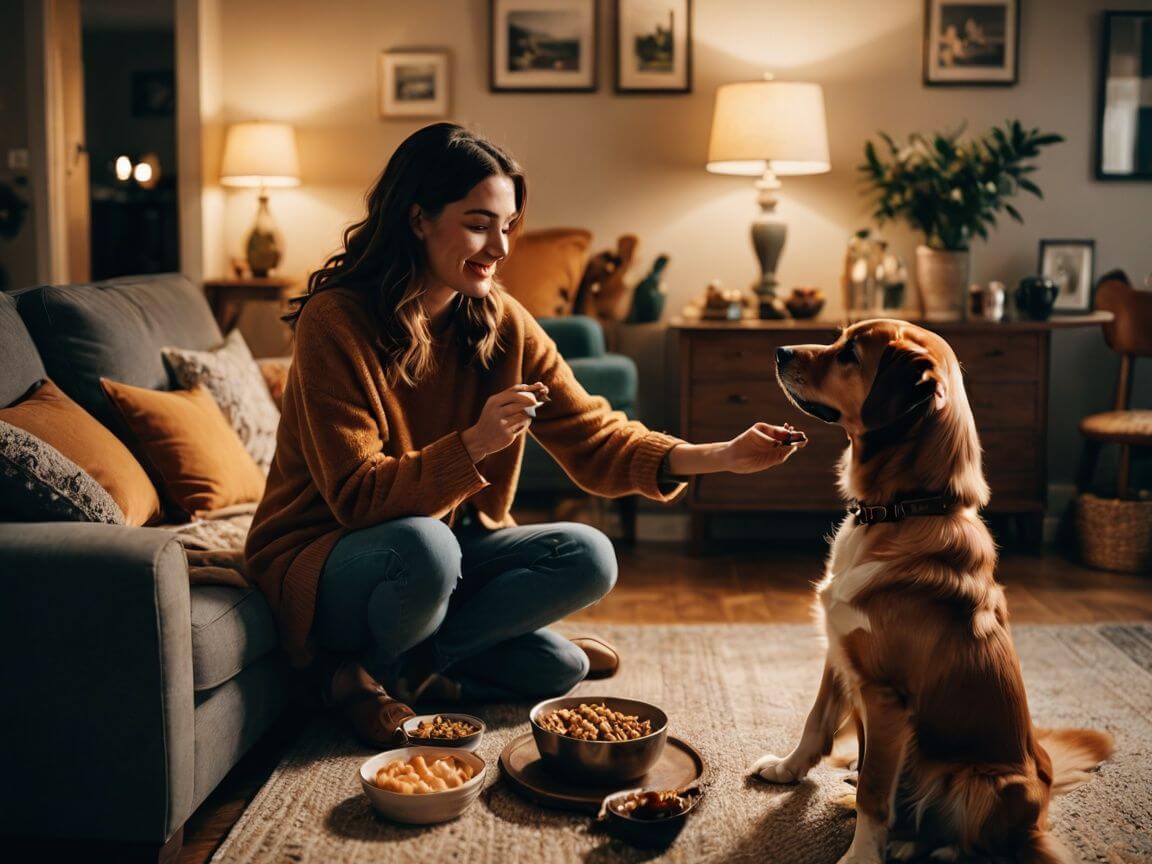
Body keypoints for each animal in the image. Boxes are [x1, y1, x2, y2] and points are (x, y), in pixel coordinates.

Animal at [751, 320, 1110, 864]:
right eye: (839, 338)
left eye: (849, 355)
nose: (779, 350)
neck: (901, 510)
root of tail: (1041, 815)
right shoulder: (840, 653)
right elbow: (816, 722)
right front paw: (788, 770)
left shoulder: (885, 697)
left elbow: (874, 792)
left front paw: (861, 854)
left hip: (987, 784)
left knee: (973, 844)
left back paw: (916, 847)